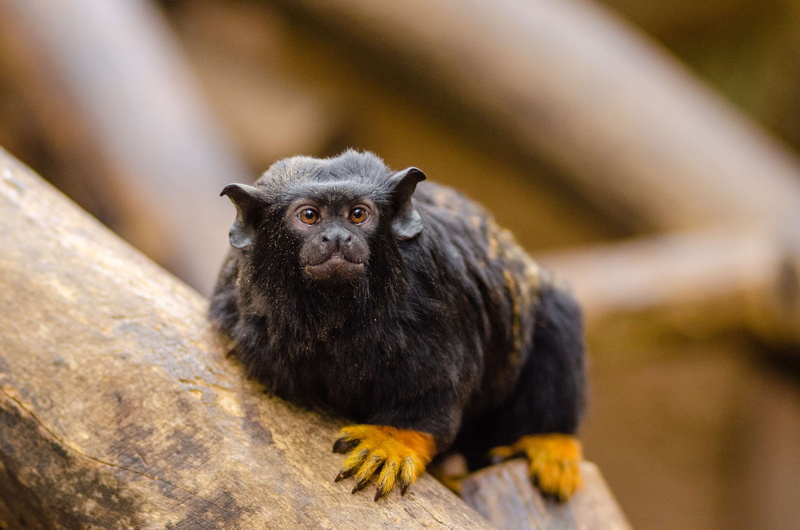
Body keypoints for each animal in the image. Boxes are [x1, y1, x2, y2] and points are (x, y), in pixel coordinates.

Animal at [209, 150, 586, 502]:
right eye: (309, 216)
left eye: (358, 215)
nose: (337, 238)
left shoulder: (437, 288)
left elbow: (435, 389)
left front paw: (392, 441)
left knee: (556, 320)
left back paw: (548, 441)